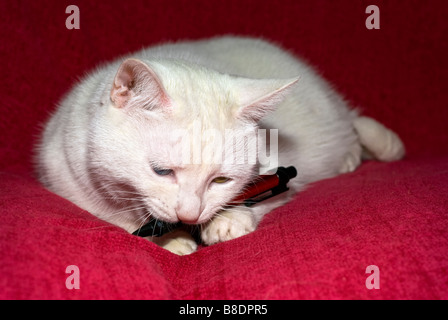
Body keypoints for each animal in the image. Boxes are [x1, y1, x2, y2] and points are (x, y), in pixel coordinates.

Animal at [36, 35, 404, 255]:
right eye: (161, 171)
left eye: (222, 180)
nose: (189, 214)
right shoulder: (65, 177)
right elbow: (113, 216)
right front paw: (172, 239)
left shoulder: (281, 166)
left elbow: (268, 190)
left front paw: (228, 220)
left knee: (354, 127)